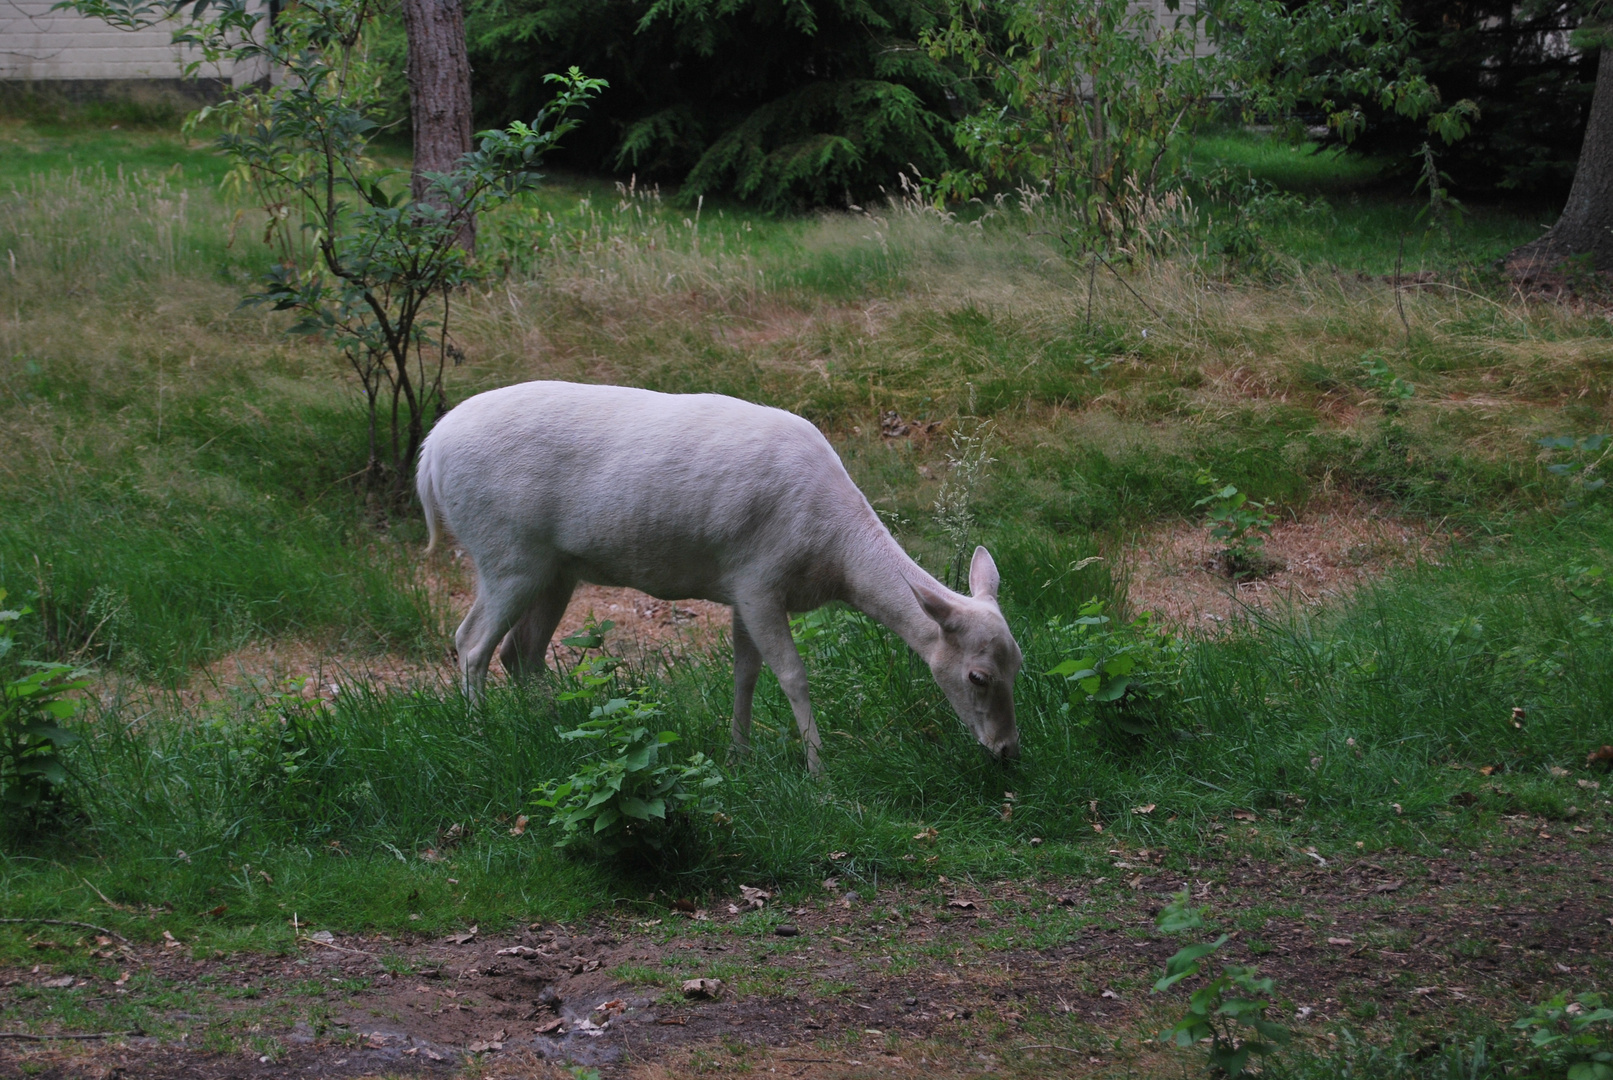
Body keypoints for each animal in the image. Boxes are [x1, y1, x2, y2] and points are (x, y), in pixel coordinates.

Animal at [416, 380, 1019, 770]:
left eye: (1020, 664)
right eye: (978, 676)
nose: (1008, 750)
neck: (832, 556)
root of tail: (428, 455)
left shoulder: (739, 591)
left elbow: (744, 672)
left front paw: (739, 756)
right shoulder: (759, 579)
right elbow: (792, 674)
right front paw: (818, 769)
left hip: (555, 569)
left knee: (522, 652)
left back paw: (557, 732)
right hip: (505, 551)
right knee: (471, 642)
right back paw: (483, 736)